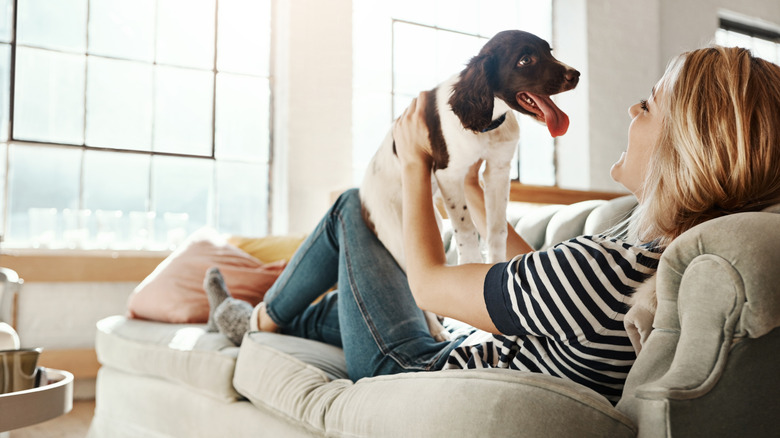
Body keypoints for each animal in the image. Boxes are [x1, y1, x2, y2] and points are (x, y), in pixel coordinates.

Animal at [360, 30, 580, 338]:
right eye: (525, 60)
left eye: (549, 51)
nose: (576, 75)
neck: (488, 120)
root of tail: (363, 193)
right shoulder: (449, 173)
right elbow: (465, 229)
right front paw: (471, 263)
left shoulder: (498, 171)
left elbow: (496, 229)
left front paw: (494, 264)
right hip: (397, 234)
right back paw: (436, 330)